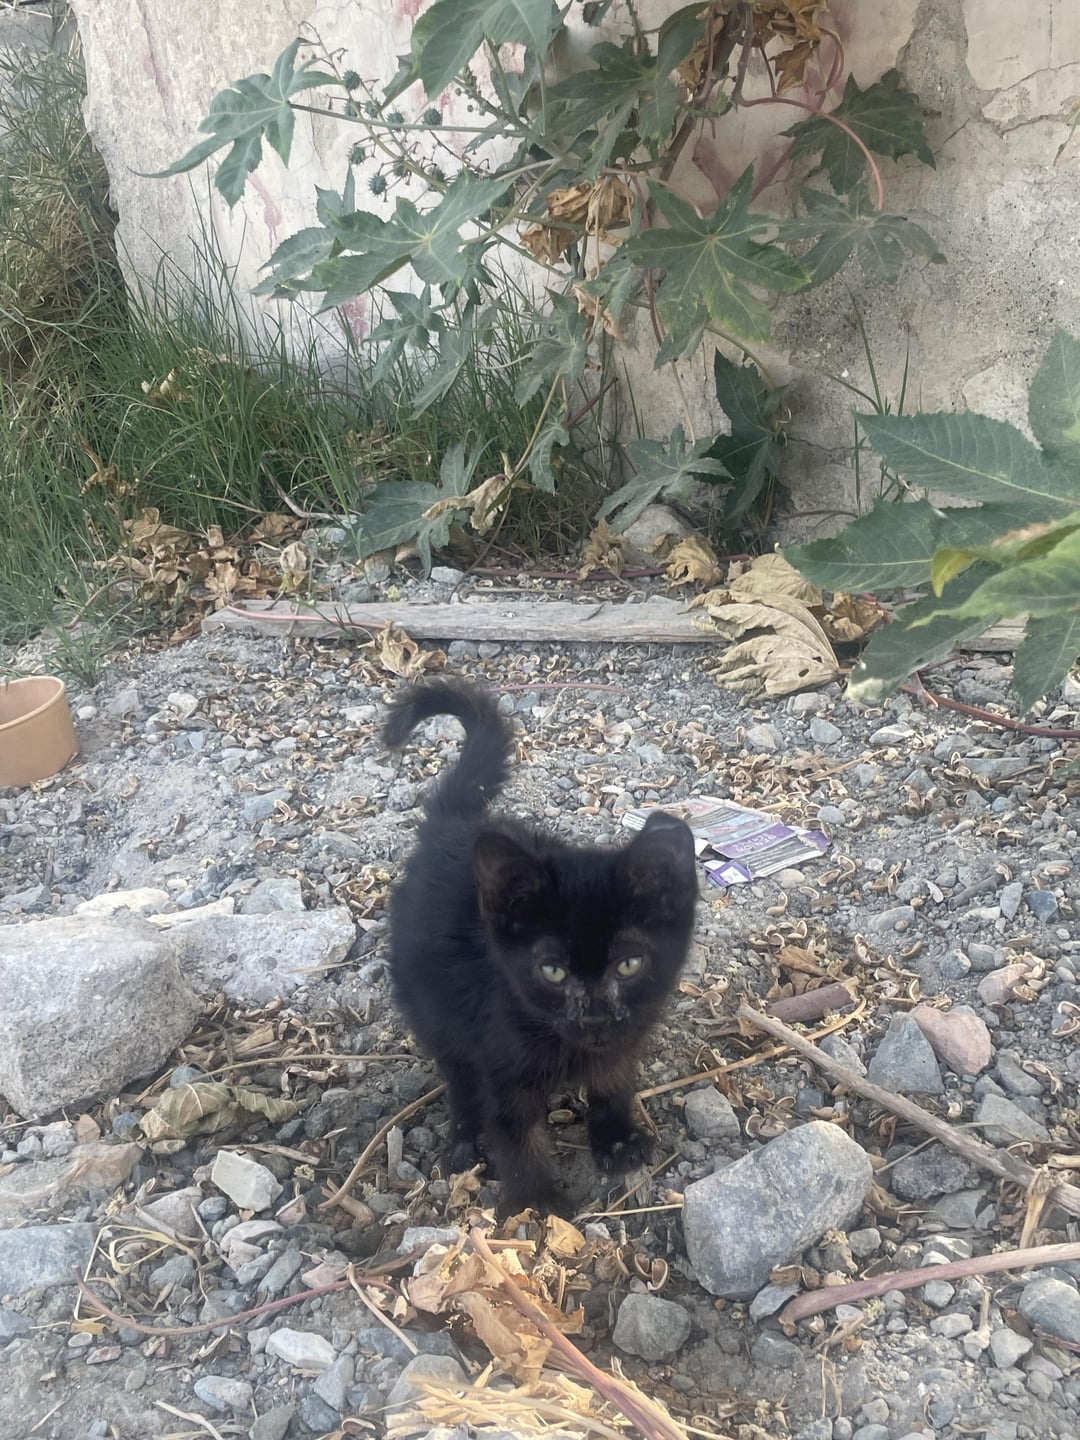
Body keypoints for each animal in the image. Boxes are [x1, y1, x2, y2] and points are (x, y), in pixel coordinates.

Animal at [383, 678, 698, 1214]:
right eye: (552, 971)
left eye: (628, 964)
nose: (594, 1017)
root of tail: (453, 826)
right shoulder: (498, 1055)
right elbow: (514, 1132)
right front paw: (539, 1205)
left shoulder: (625, 1037)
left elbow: (612, 1081)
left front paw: (615, 1139)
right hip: (433, 1006)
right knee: (458, 1075)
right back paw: (464, 1139)